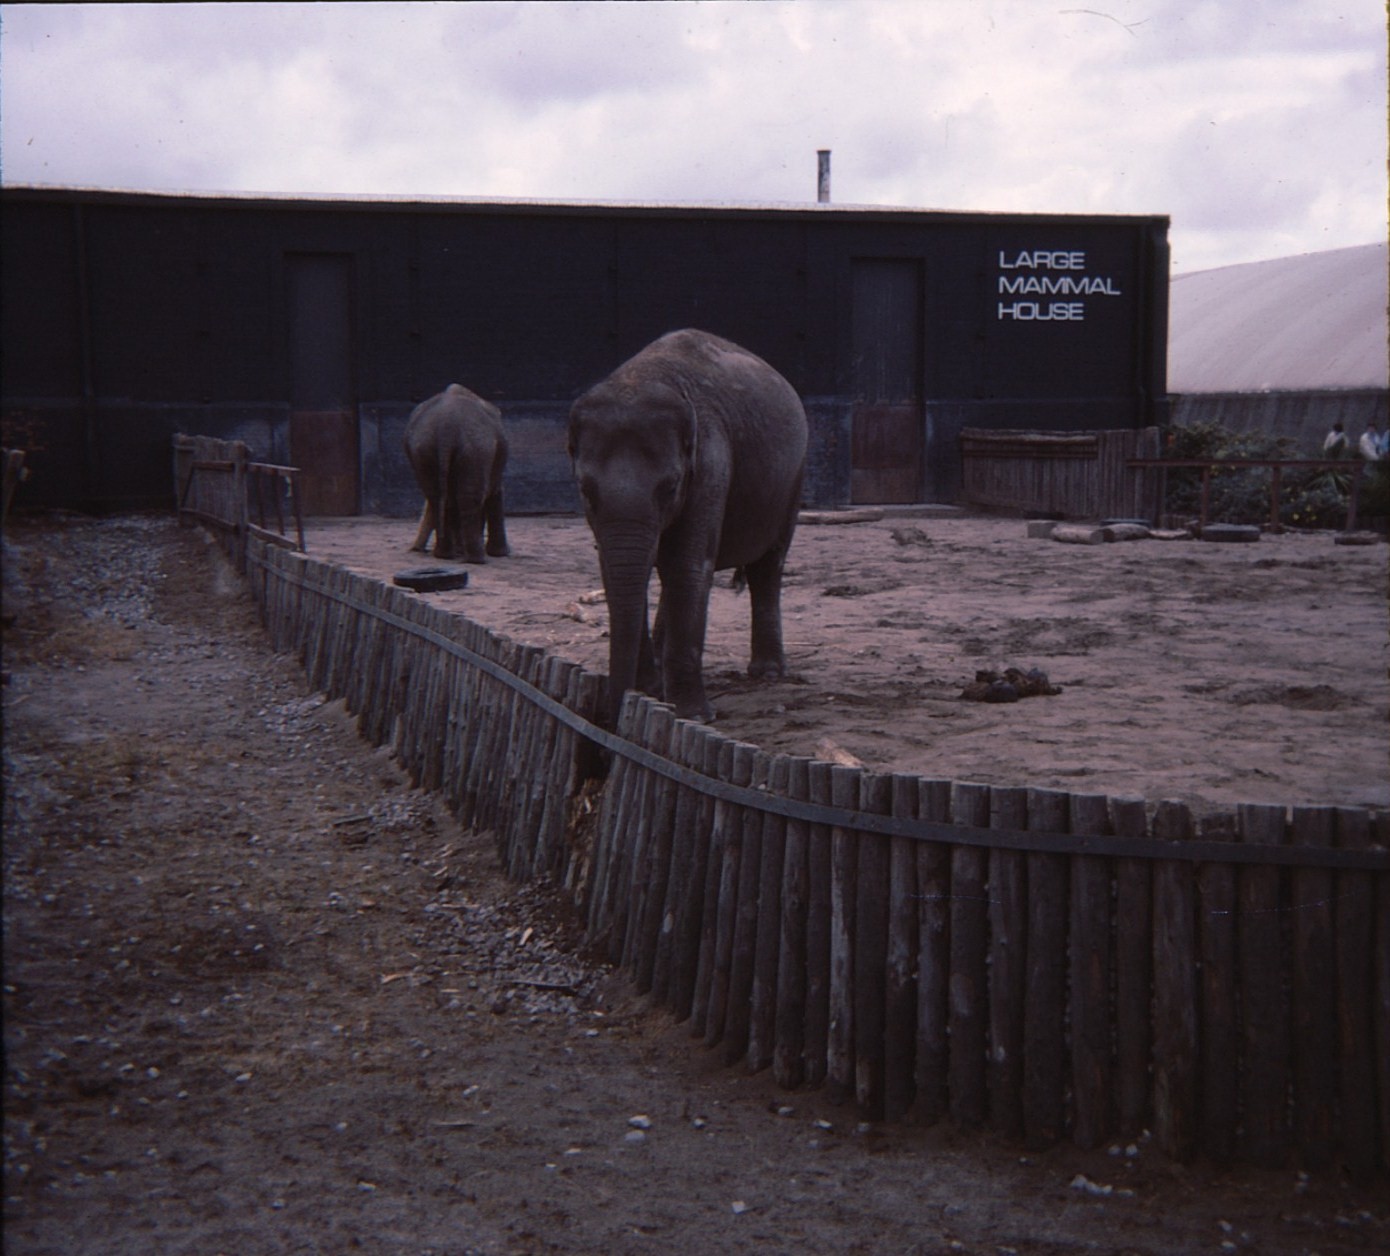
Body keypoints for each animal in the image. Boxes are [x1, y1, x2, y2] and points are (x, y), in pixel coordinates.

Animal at [403, 384, 510, 563]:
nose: (417, 549)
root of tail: (446, 430)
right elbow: (495, 493)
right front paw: (501, 554)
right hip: (476, 447)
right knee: (469, 498)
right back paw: (476, 559)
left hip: (424, 449)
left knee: (437, 498)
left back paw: (445, 555)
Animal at [568, 329, 808, 726]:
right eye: (585, 489)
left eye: (670, 487)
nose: (611, 715)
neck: (641, 377)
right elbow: (617, 569)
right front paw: (651, 692)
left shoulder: (711, 463)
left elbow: (687, 566)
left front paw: (694, 716)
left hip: (792, 482)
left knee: (767, 566)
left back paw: (768, 673)